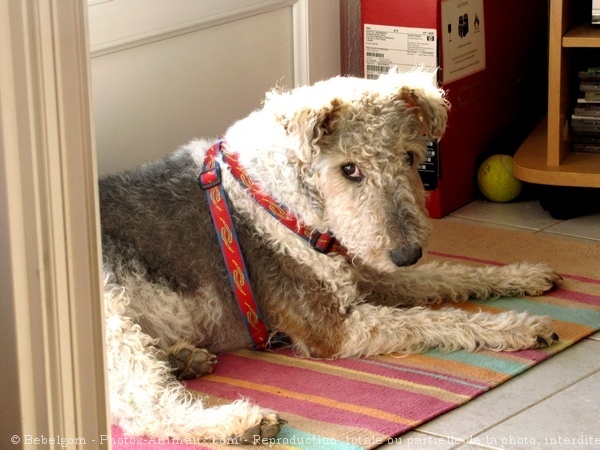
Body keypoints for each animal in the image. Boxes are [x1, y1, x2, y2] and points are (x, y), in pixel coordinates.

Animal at [101, 70, 560, 442]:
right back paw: (241, 422)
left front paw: (524, 276)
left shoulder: (366, 271)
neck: (287, 200)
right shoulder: (331, 326)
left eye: (410, 157)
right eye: (349, 169)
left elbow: (449, 275)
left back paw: (185, 358)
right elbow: (435, 319)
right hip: (114, 319)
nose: (407, 252)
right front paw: (522, 327)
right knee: (142, 408)